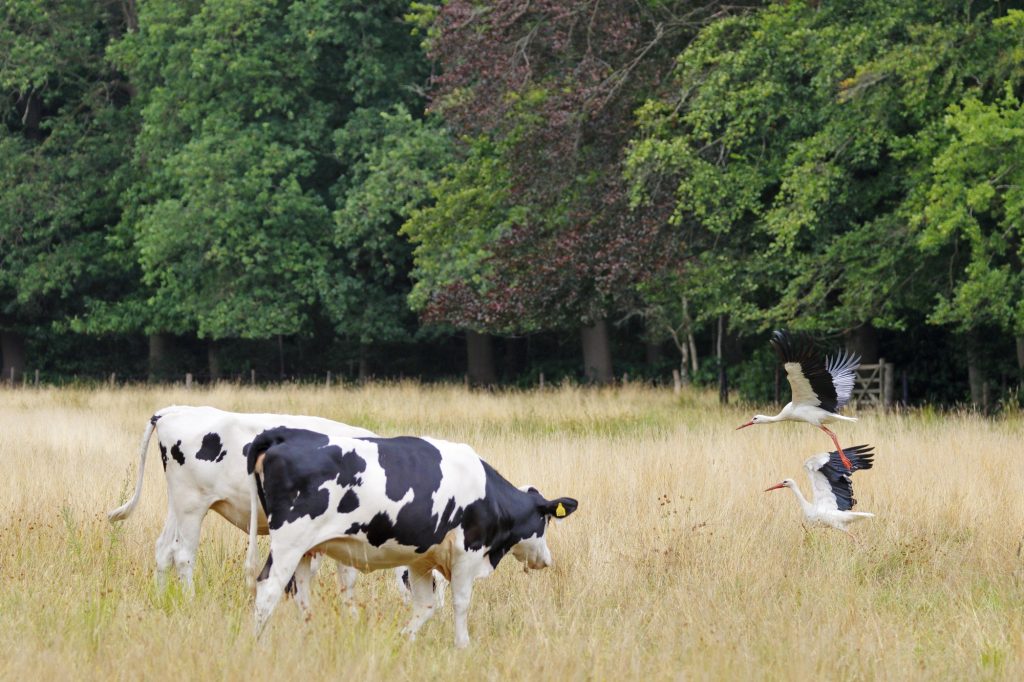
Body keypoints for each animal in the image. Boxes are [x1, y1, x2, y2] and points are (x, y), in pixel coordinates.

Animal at [247, 428, 581, 647]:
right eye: (546, 520)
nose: (546, 559)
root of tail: (285, 434)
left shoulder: (421, 560)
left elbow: (426, 605)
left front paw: (403, 639)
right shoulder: (468, 552)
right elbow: (461, 602)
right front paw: (463, 645)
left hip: (306, 550)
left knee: (300, 592)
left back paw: (309, 635)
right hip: (290, 542)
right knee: (269, 587)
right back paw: (258, 643)